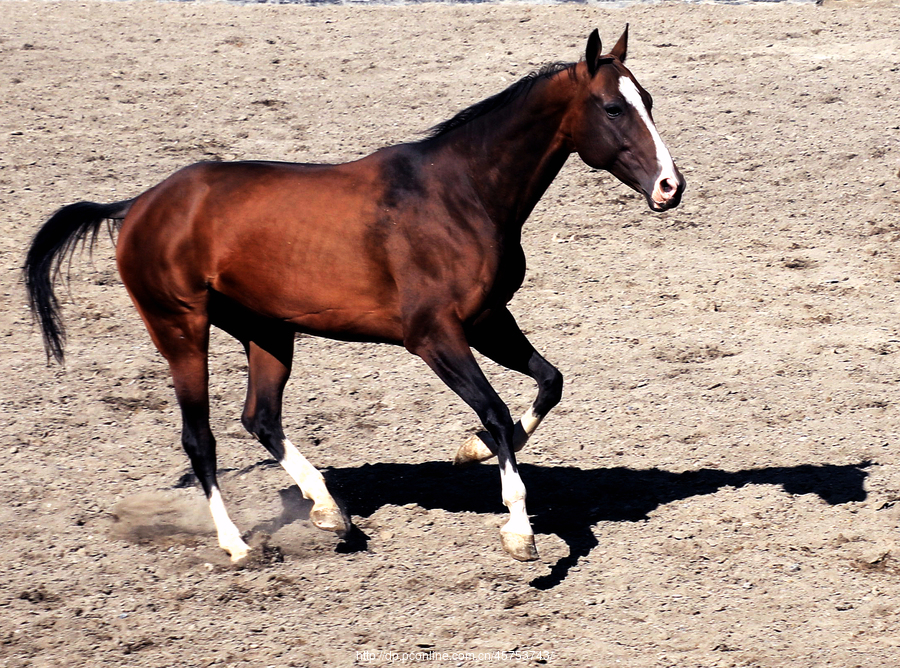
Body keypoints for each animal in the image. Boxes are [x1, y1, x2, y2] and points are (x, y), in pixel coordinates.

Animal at [24, 27, 684, 564]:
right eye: (612, 108)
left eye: (648, 101)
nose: (670, 187)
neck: (461, 194)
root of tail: (138, 204)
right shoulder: (434, 336)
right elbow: (495, 412)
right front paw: (518, 530)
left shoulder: (488, 319)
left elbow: (548, 383)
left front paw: (470, 452)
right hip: (181, 329)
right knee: (200, 438)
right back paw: (237, 545)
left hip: (268, 331)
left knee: (260, 417)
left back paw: (328, 511)